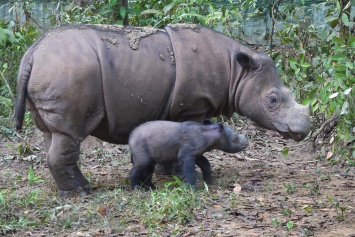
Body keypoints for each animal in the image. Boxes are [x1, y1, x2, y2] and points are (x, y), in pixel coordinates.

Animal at [15, 23, 312, 198]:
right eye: (273, 100)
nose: (303, 131)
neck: (236, 72)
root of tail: (32, 52)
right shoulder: (193, 106)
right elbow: (186, 136)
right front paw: (181, 175)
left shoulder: (185, 107)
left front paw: (164, 173)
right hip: (66, 72)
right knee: (68, 134)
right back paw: (78, 195)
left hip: (52, 72)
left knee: (55, 134)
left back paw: (81, 188)